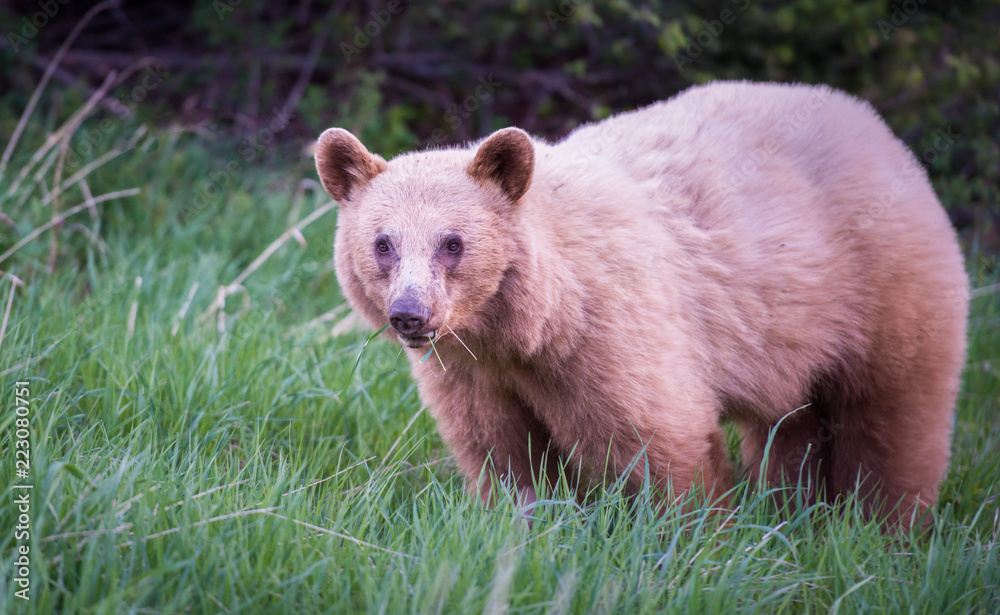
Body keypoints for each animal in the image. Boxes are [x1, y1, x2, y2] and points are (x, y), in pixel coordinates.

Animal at [314, 81, 969, 528]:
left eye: (453, 242)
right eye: (383, 243)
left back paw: (881, 523)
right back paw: (795, 505)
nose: (410, 314)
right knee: (795, 422)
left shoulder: (610, 326)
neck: (526, 325)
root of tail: (876, 128)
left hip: (880, 285)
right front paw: (528, 521)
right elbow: (503, 451)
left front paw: (689, 536)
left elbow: (654, 435)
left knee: (892, 412)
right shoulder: (475, 372)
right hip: (799, 330)